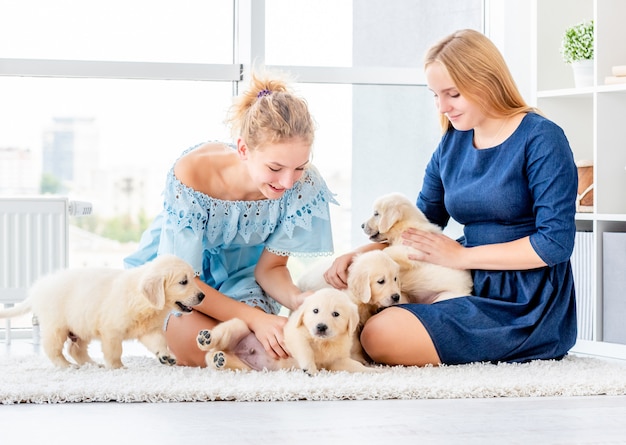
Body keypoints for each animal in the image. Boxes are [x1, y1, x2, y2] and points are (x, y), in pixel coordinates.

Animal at [0, 253, 202, 368]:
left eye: (193, 278)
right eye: (183, 282)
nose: (202, 296)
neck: (142, 301)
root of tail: (38, 289)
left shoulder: (149, 330)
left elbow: (159, 342)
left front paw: (165, 356)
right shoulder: (111, 331)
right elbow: (115, 351)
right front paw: (117, 367)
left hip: (80, 327)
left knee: (75, 350)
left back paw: (92, 364)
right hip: (57, 327)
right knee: (52, 349)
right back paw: (66, 366)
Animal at [195, 286, 376, 372]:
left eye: (336, 314)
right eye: (315, 311)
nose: (321, 327)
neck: (323, 342)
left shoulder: (337, 360)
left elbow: (355, 367)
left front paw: (373, 371)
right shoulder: (293, 333)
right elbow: (304, 349)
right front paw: (309, 368)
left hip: (245, 368)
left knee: (215, 358)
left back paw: (219, 359)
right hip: (238, 327)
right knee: (217, 339)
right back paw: (206, 339)